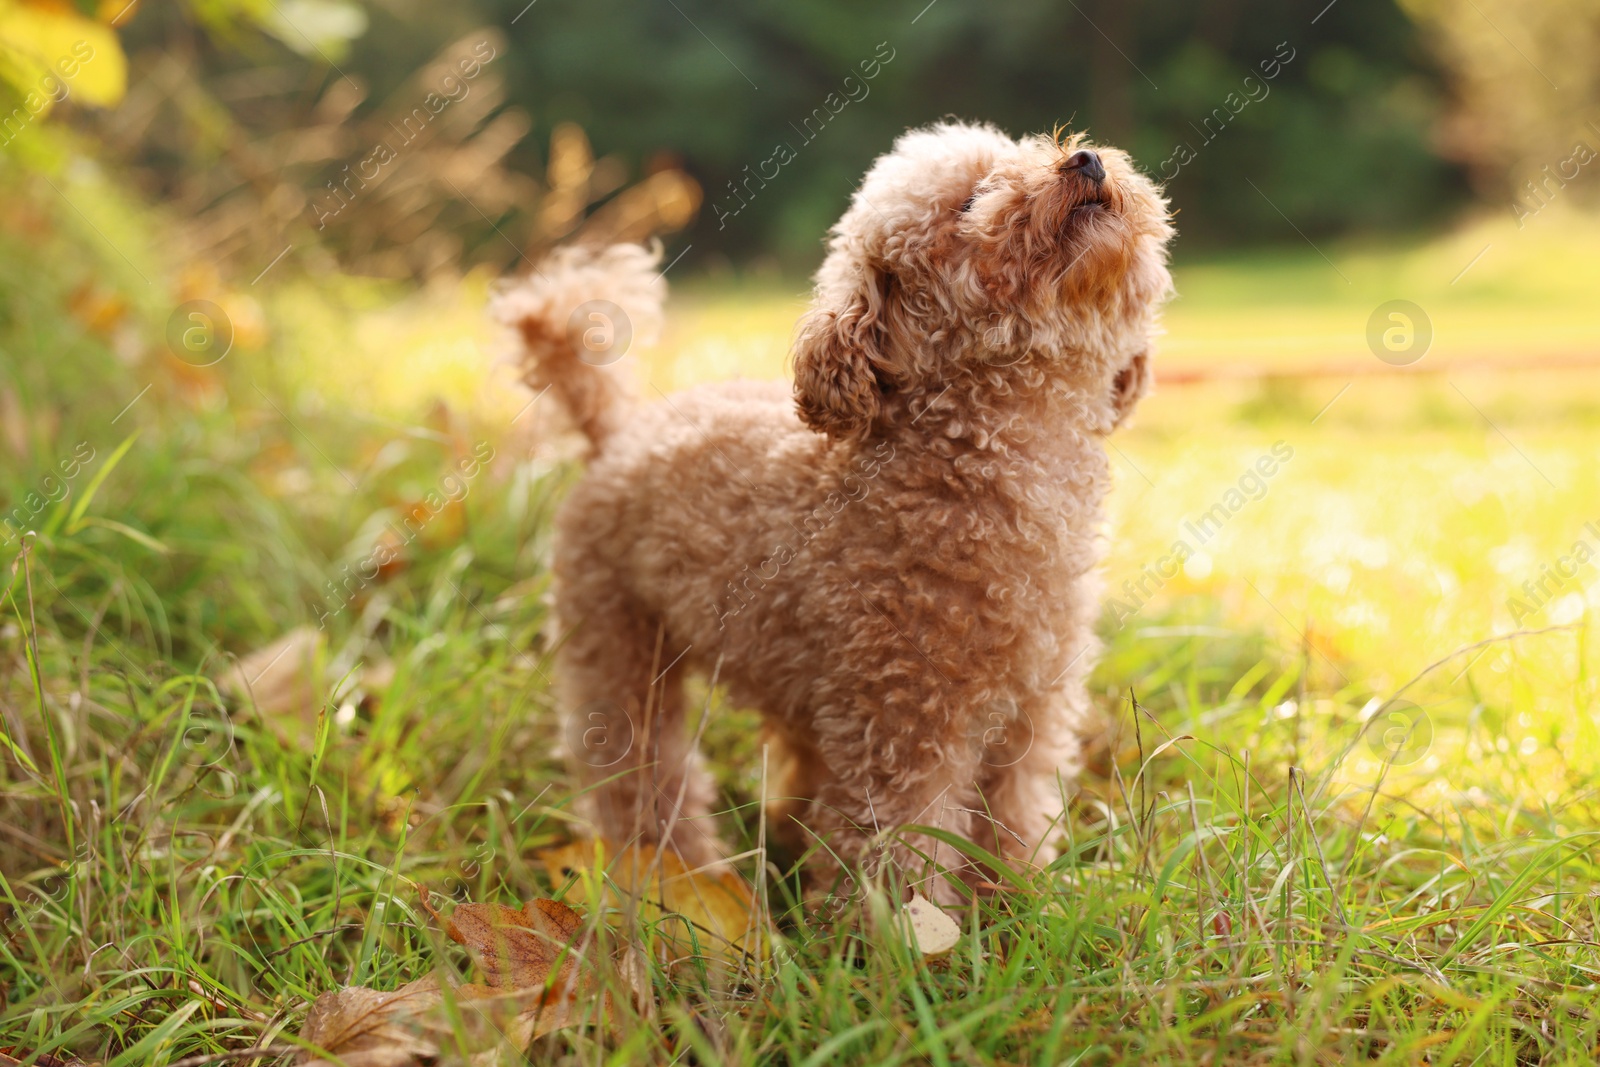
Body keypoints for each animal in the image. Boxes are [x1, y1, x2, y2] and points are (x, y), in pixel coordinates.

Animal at [496, 119, 1177, 902]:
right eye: (970, 200)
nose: (1086, 159)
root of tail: (615, 432)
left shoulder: (1031, 709)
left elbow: (1011, 821)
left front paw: (1016, 906)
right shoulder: (902, 719)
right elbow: (898, 849)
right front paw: (903, 933)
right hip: (615, 639)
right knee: (638, 773)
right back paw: (674, 878)